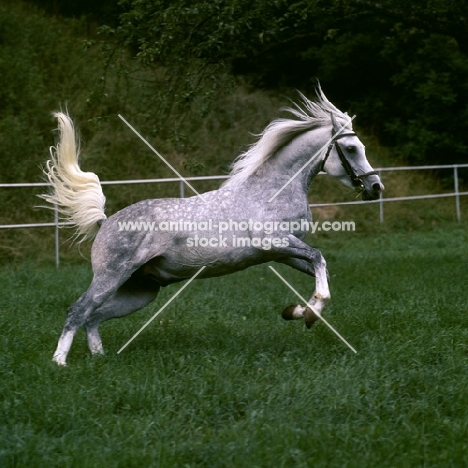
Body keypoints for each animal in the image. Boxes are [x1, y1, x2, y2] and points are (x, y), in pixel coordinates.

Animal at [42, 88, 384, 366]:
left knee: (94, 316)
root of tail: (105, 221)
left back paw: (99, 357)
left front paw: (301, 313)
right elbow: (319, 259)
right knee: (78, 311)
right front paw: (308, 313)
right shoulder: (274, 242)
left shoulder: (283, 253)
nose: (376, 187)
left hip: (141, 291)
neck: (271, 191)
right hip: (111, 277)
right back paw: (59, 363)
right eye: (351, 149)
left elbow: (318, 268)